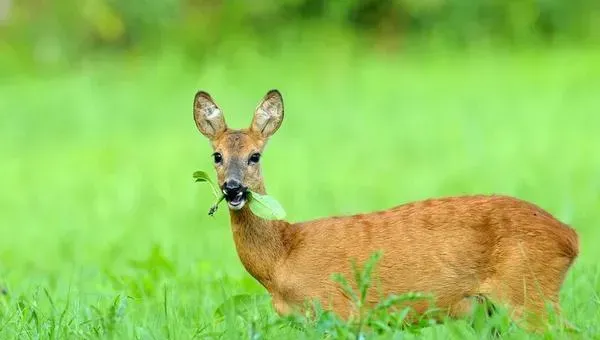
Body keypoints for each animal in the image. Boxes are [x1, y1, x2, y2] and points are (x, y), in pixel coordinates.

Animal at [192, 89, 576, 330]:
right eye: (217, 156)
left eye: (255, 156)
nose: (232, 188)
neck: (283, 258)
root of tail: (571, 238)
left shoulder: (337, 310)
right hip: (495, 310)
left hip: (528, 291)